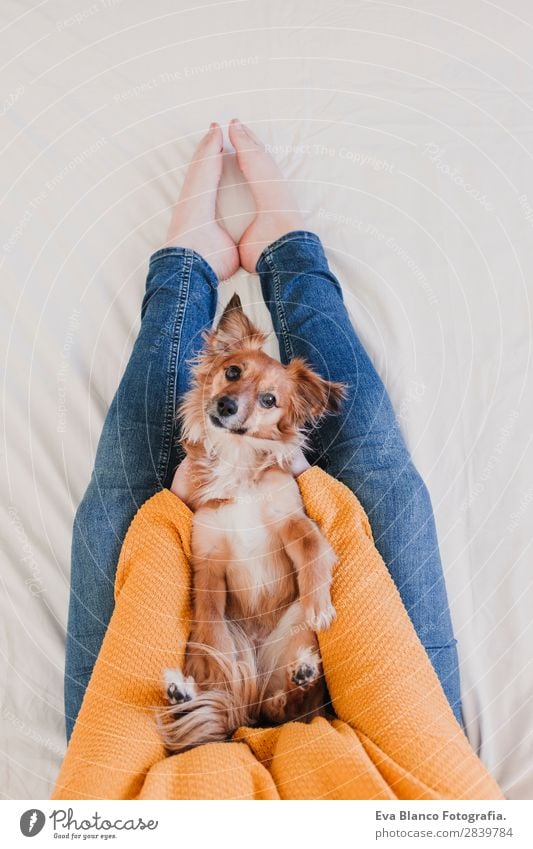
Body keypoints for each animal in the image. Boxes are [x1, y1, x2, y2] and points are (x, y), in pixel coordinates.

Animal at [160, 294, 344, 752]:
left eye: (269, 400)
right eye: (232, 372)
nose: (226, 405)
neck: (237, 458)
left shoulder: (292, 522)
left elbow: (313, 549)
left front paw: (320, 604)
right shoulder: (208, 554)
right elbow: (209, 613)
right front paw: (214, 659)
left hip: (292, 639)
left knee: (292, 710)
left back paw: (301, 677)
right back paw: (182, 691)